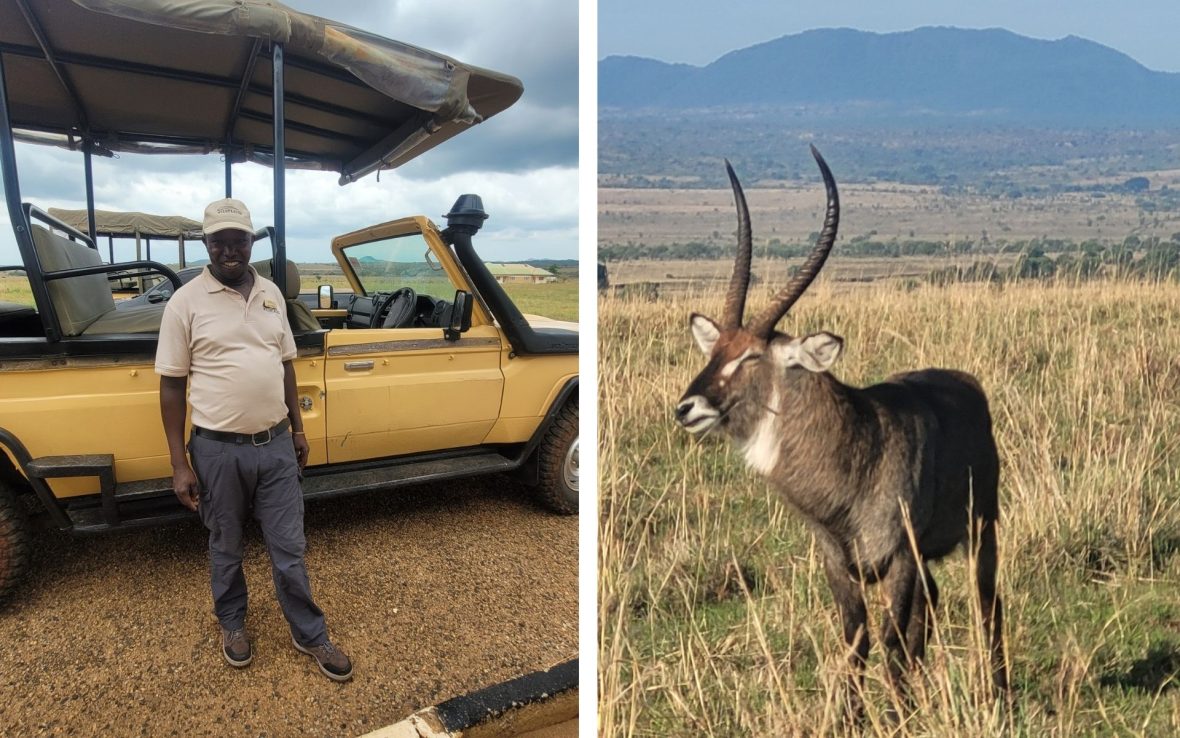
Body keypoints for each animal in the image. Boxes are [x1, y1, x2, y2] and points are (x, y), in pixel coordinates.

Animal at [675, 146, 1007, 714]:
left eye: (751, 356)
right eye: (715, 351)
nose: (687, 407)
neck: (855, 453)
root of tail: (967, 384)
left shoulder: (898, 559)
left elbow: (892, 639)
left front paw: (895, 715)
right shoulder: (837, 565)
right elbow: (857, 639)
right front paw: (855, 715)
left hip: (982, 529)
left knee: (987, 603)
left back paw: (996, 693)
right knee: (933, 604)